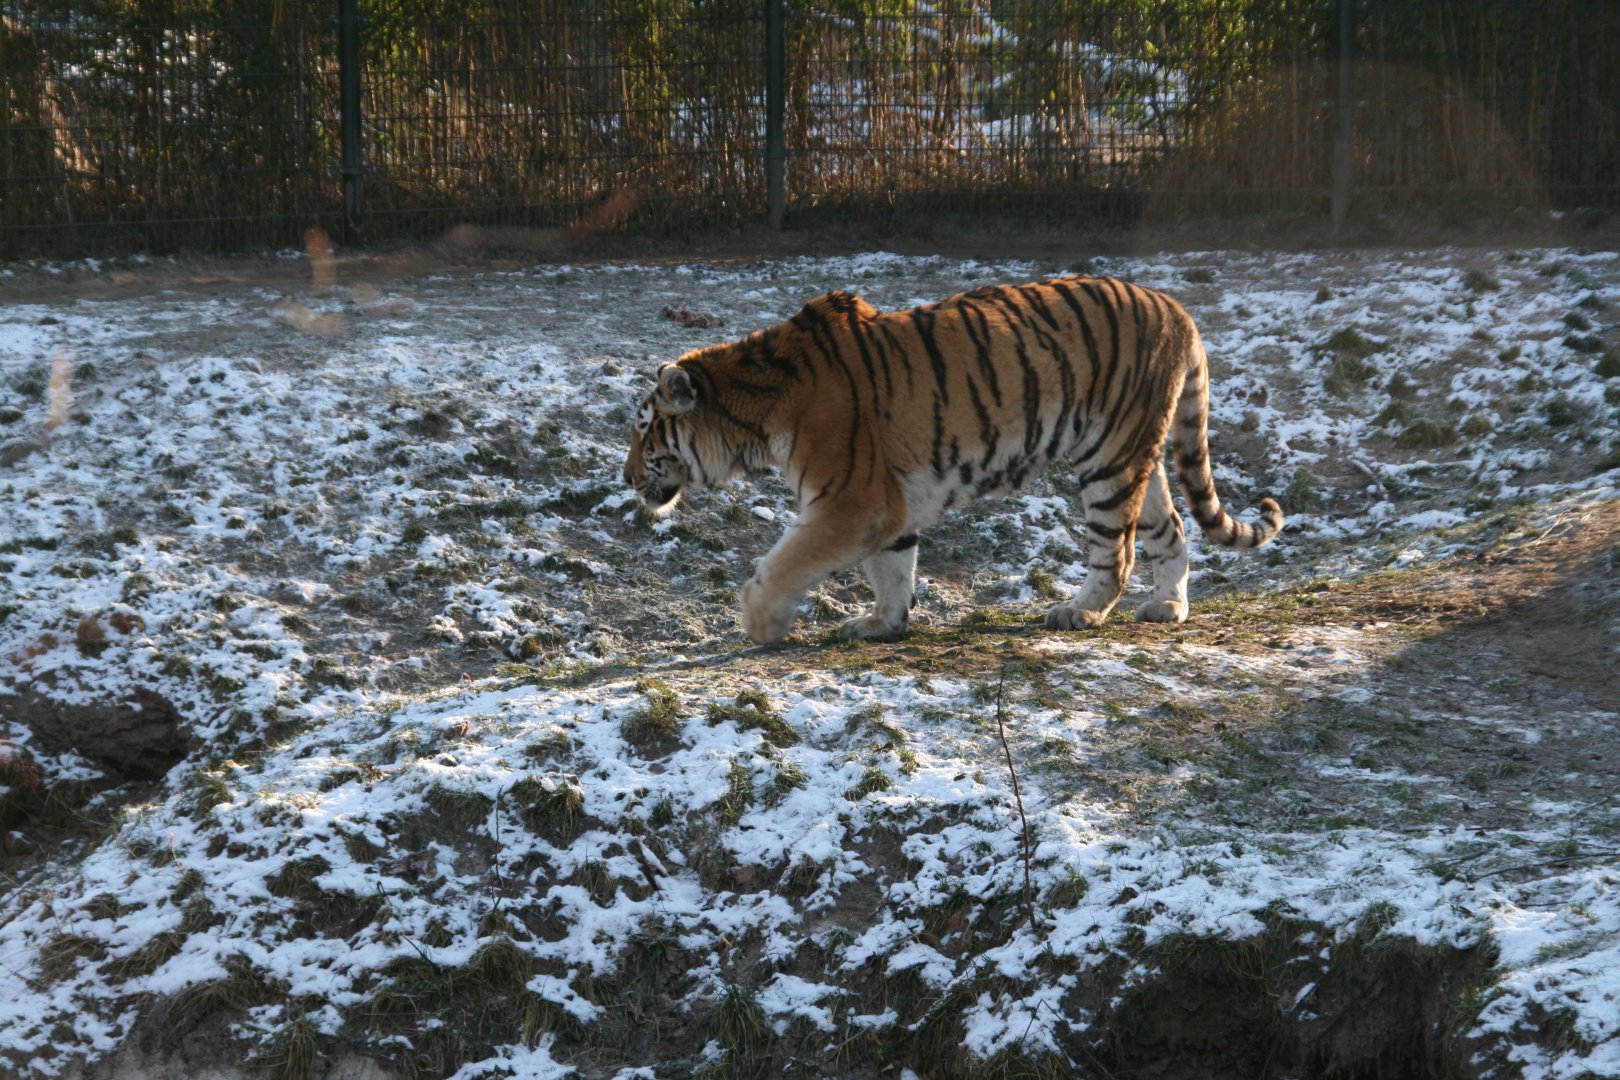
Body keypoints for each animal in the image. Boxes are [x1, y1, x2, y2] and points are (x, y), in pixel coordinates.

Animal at [623, 275, 1284, 645]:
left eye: (644, 431)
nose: (626, 479)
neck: (757, 411)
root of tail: (1176, 307)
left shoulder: (849, 502)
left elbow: (785, 562)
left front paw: (760, 625)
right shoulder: (886, 505)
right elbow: (892, 570)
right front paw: (882, 624)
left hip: (1108, 458)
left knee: (1115, 552)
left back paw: (1078, 613)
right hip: (1135, 456)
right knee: (1169, 531)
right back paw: (1167, 608)